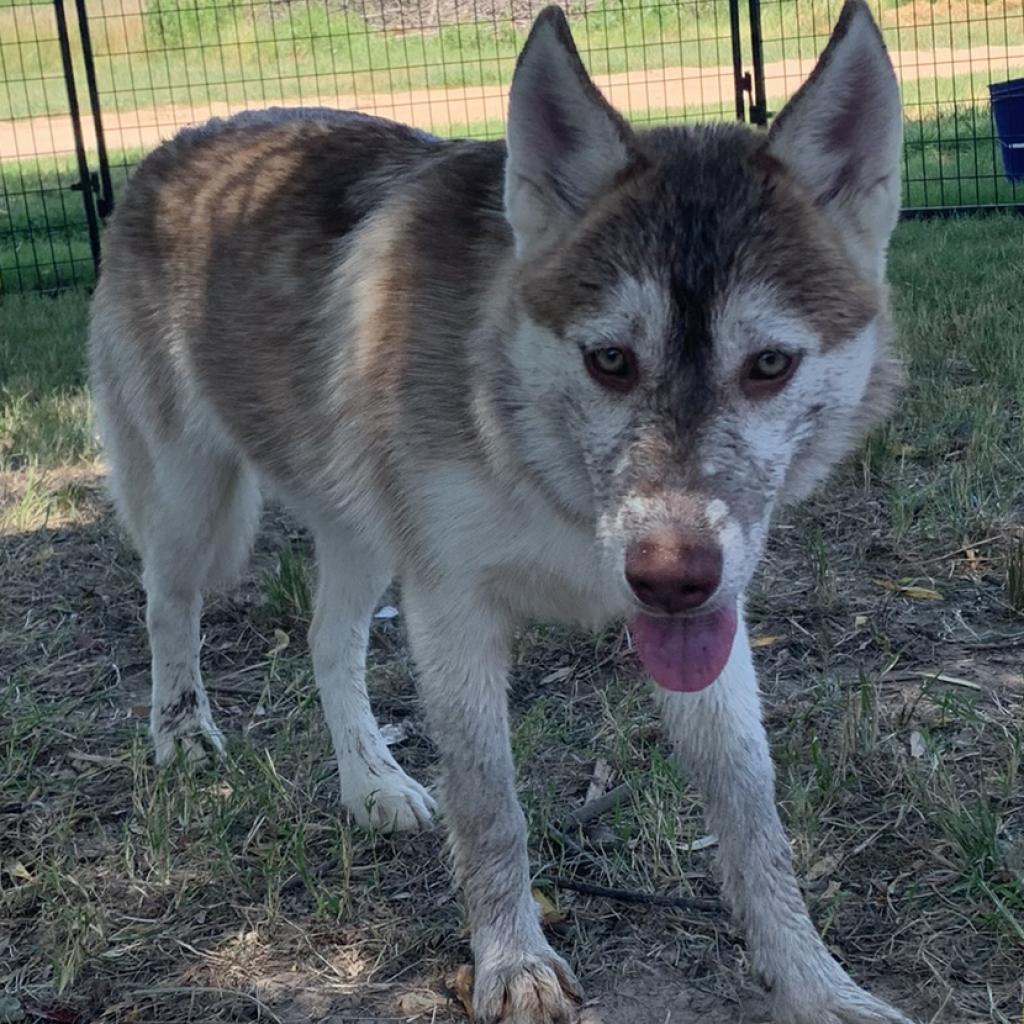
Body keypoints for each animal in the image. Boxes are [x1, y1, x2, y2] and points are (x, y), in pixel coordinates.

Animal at [90, 4, 913, 1019]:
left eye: (769, 365)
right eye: (610, 361)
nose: (668, 578)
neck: (550, 479)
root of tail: (172, 144)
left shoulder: (713, 620)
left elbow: (753, 816)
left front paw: (815, 982)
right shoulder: (452, 611)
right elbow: (493, 810)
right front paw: (513, 965)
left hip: (360, 532)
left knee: (327, 642)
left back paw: (373, 784)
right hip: (192, 501)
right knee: (167, 606)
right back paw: (183, 737)